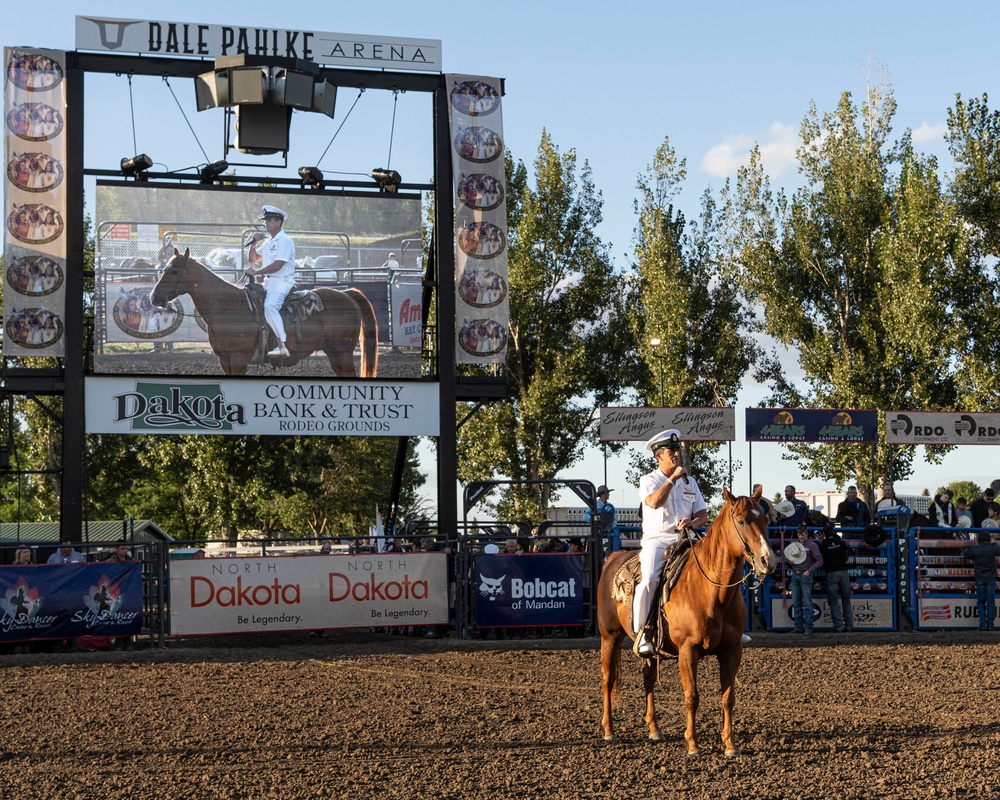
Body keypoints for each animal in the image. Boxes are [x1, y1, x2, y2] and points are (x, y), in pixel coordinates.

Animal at [149, 248, 378, 376]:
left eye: (174, 271)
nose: (154, 297)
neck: (227, 307)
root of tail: (347, 293)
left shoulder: (238, 359)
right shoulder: (225, 360)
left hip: (343, 352)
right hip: (335, 353)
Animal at [596, 488, 776, 756]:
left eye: (765, 520)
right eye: (742, 521)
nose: (768, 561)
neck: (712, 591)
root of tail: (613, 559)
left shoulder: (732, 650)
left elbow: (728, 698)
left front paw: (730, 744)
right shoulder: (688, 651)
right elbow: (692, 696)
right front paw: (693, 744)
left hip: (649, 651)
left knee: (648, 679)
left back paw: (654, 729)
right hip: (609, 635)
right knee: (608, 680)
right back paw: (609, 731)